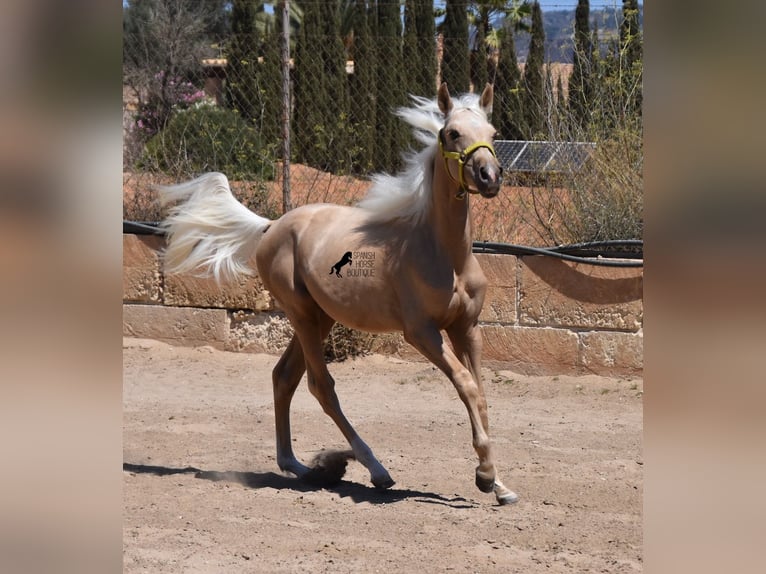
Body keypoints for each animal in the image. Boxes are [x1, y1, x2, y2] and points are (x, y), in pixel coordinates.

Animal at [162, 83, 520, 506]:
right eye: (451, 133)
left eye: (493, 133)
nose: (489, 176)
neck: (445, 254)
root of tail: (271, 226)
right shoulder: (421, 333)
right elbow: (466, 384)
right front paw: (484, 475)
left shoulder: (467, 328)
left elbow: (480, 394)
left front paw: (499, 485)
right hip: (301, 314)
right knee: (321, 386)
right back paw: (375, 470)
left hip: (321, 317)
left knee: (284, 377)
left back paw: (299, 466)